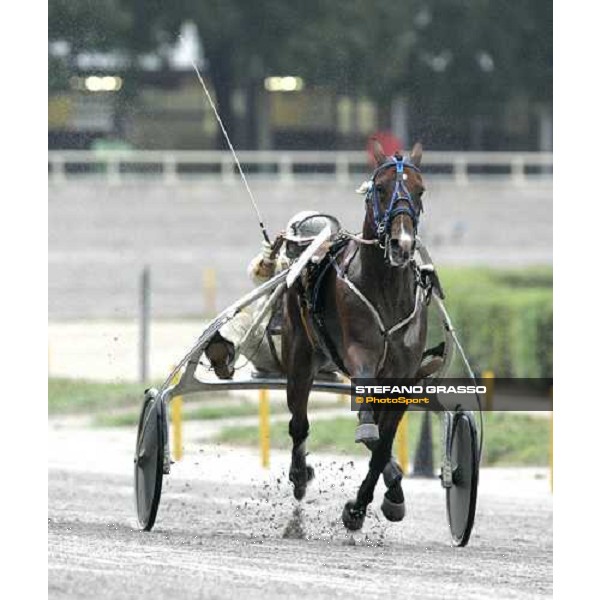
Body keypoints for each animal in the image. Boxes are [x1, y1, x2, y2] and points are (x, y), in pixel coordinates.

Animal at [282, 141, 428, 528]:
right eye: (381, 188)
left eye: (420, 190)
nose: (402, 243)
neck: (386, 289)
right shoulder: (361, 355)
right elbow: (370, 433)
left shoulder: (402, 376)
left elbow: (382, 447)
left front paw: (369, 504)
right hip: (300, 352)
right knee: (298, 422)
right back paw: (299, 475)